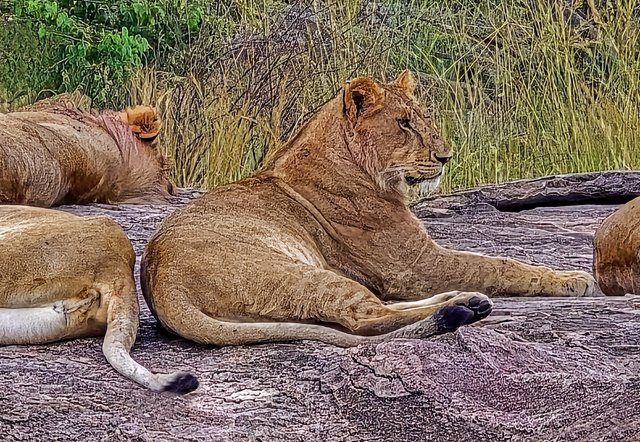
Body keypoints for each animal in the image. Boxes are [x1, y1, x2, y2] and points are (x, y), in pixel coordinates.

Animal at [140, 70, 602, 348]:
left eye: (422, 118)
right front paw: (573, 279)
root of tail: (163, 286)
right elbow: (499, 264)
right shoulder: (415, 265)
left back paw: (463, 299)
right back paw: (461, 309)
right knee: (364, 316)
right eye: (404, 124)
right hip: (300, 271)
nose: (446, 157)